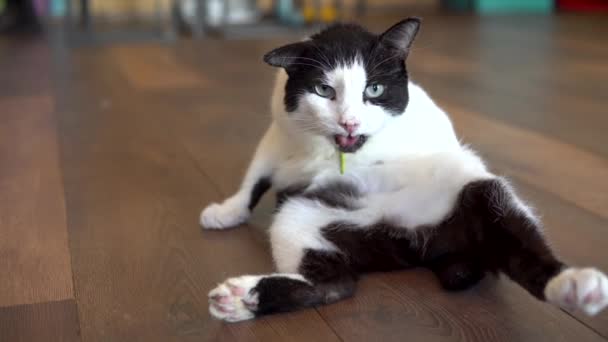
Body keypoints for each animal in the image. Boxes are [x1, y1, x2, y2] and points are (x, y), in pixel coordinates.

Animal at [201, 17, 608, 322]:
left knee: (520, 242)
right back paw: (240, 299)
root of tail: (414, 240)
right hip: (300, 216)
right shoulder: (278, 131)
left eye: (375, 90)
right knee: (336, 284)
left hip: (480, 191)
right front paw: (228, 210)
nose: (350, 123)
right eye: (323, 91)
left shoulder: (434, 127)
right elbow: (256, 174)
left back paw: (574, 285)